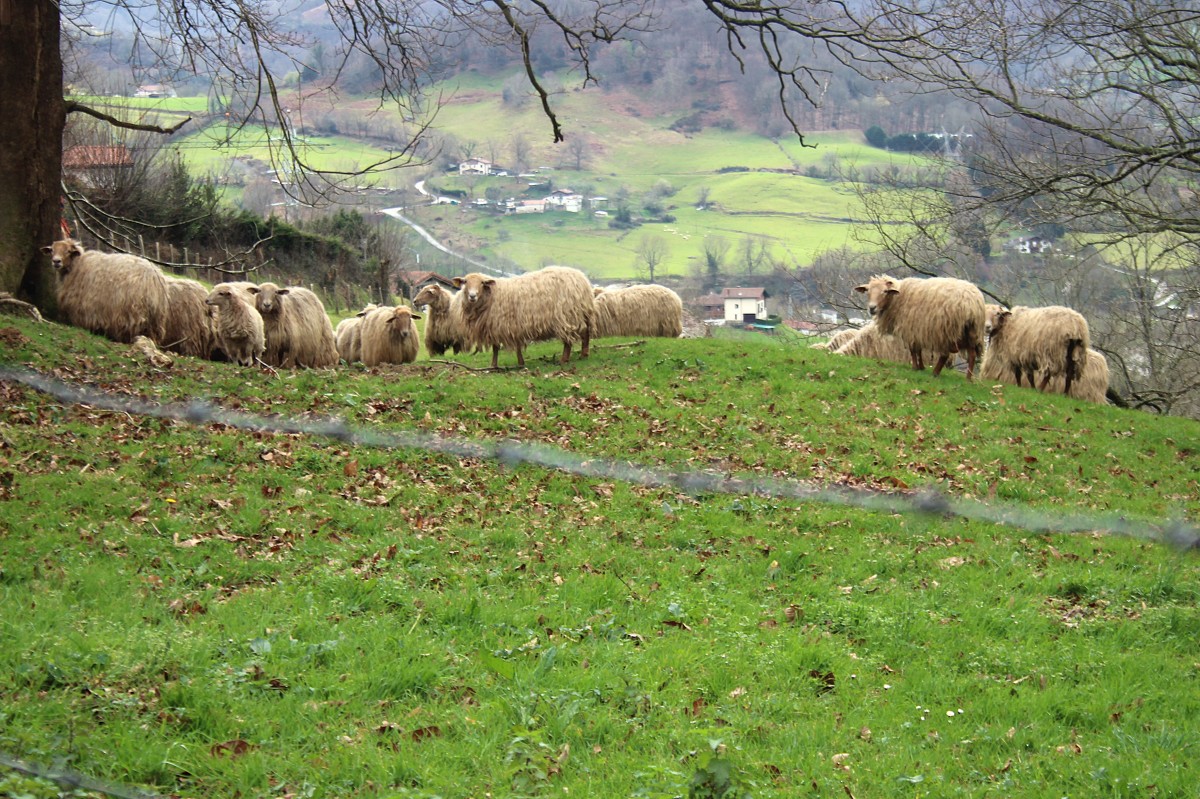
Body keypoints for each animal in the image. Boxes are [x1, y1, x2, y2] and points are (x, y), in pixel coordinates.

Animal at [41, 236, 171, 343]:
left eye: (68, 251)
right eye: (52, 250)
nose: (56, 261)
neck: (76, 266)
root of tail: (155, 280)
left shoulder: (81, 309)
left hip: (131, 313)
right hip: (155, 322)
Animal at [453, 266, 595, 369]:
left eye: (482, 283)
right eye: (465, 282)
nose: (472, 296)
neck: (492, 294)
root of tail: (583, 280)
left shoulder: (503, 325)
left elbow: (501, 347)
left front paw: (497, 365)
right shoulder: (502, 326)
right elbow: (500, 347)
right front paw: (506, 364)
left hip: (566, 315)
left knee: (568, 341)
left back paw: (563, 360)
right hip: (580, 314)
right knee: (586, 333)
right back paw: (584, 354)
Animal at [854, 275, 984, 379]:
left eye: (885, 291)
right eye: (868, 291)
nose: (872, 308)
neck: (898, 298)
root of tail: (972, 303)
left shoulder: (910, 328)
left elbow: (913, 350)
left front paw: (915, 367)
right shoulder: (917, 329)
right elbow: (919, 350)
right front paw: (921, 367)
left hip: (946, 330)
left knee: (944, 354)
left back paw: (935, 373)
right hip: (971, 332)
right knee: (972, 355)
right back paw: (968, 379)